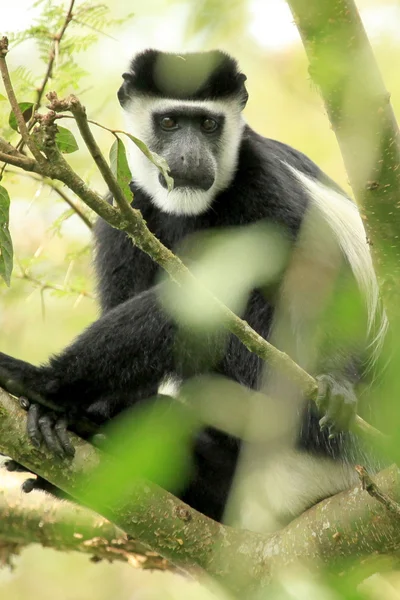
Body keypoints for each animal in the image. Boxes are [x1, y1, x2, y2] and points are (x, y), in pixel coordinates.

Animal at [0, 50, 388, 528]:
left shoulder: (262, 179)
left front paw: (336, 383)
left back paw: (37, 381)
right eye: (169, 122)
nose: (188, 156)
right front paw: (80, 416)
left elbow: (320, 279)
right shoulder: (128, 205)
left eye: (207, 124)